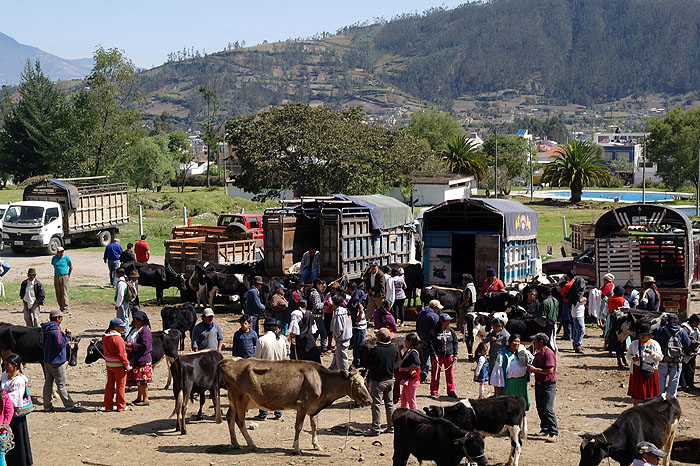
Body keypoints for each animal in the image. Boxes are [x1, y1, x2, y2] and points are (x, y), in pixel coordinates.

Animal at [216, 358, 372, 454]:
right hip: (240, 398)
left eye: (364, 381)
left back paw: (235, 443)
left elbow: (314, 425)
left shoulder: (313, 408)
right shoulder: (302, 405)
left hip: (234, 400)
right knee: (240, 421)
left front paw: (316, 445)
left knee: (230, 417)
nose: (369, 400)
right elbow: (299, 426)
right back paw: (252, 445)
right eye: (356, 383)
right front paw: (297, 448)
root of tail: (228, 361)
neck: (321, 380)